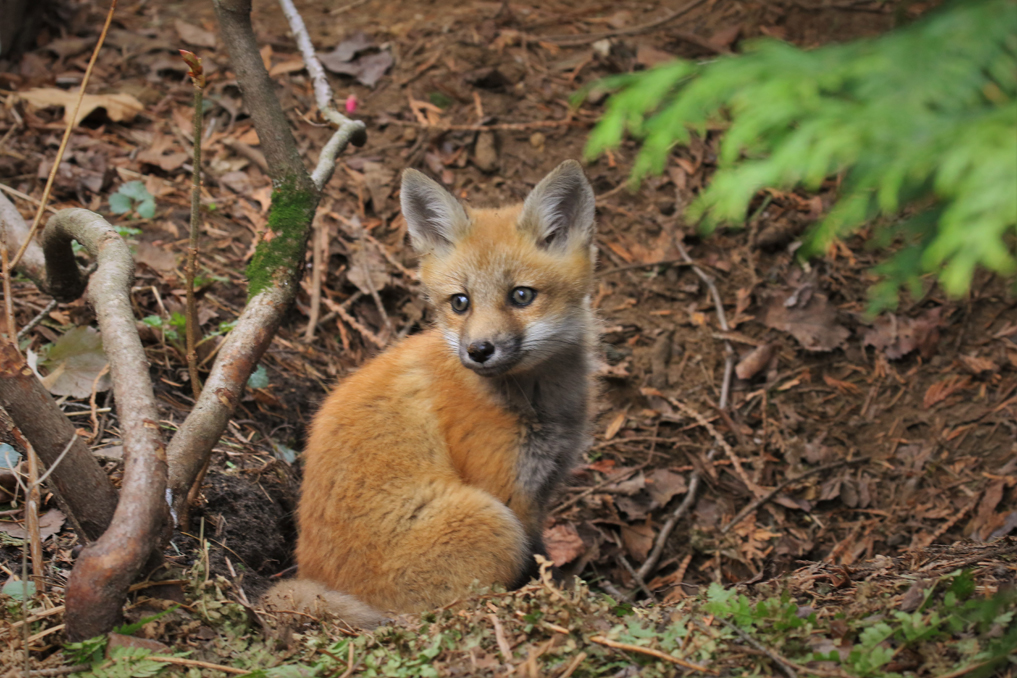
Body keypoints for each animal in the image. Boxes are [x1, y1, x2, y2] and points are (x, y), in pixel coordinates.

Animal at [262, 159, 597, 626]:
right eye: (460, 302)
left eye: (521, 295)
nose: (478, 350)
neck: (539, 402)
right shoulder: (511, 494)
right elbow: (538, 563)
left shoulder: (543, 486)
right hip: (491, 522)